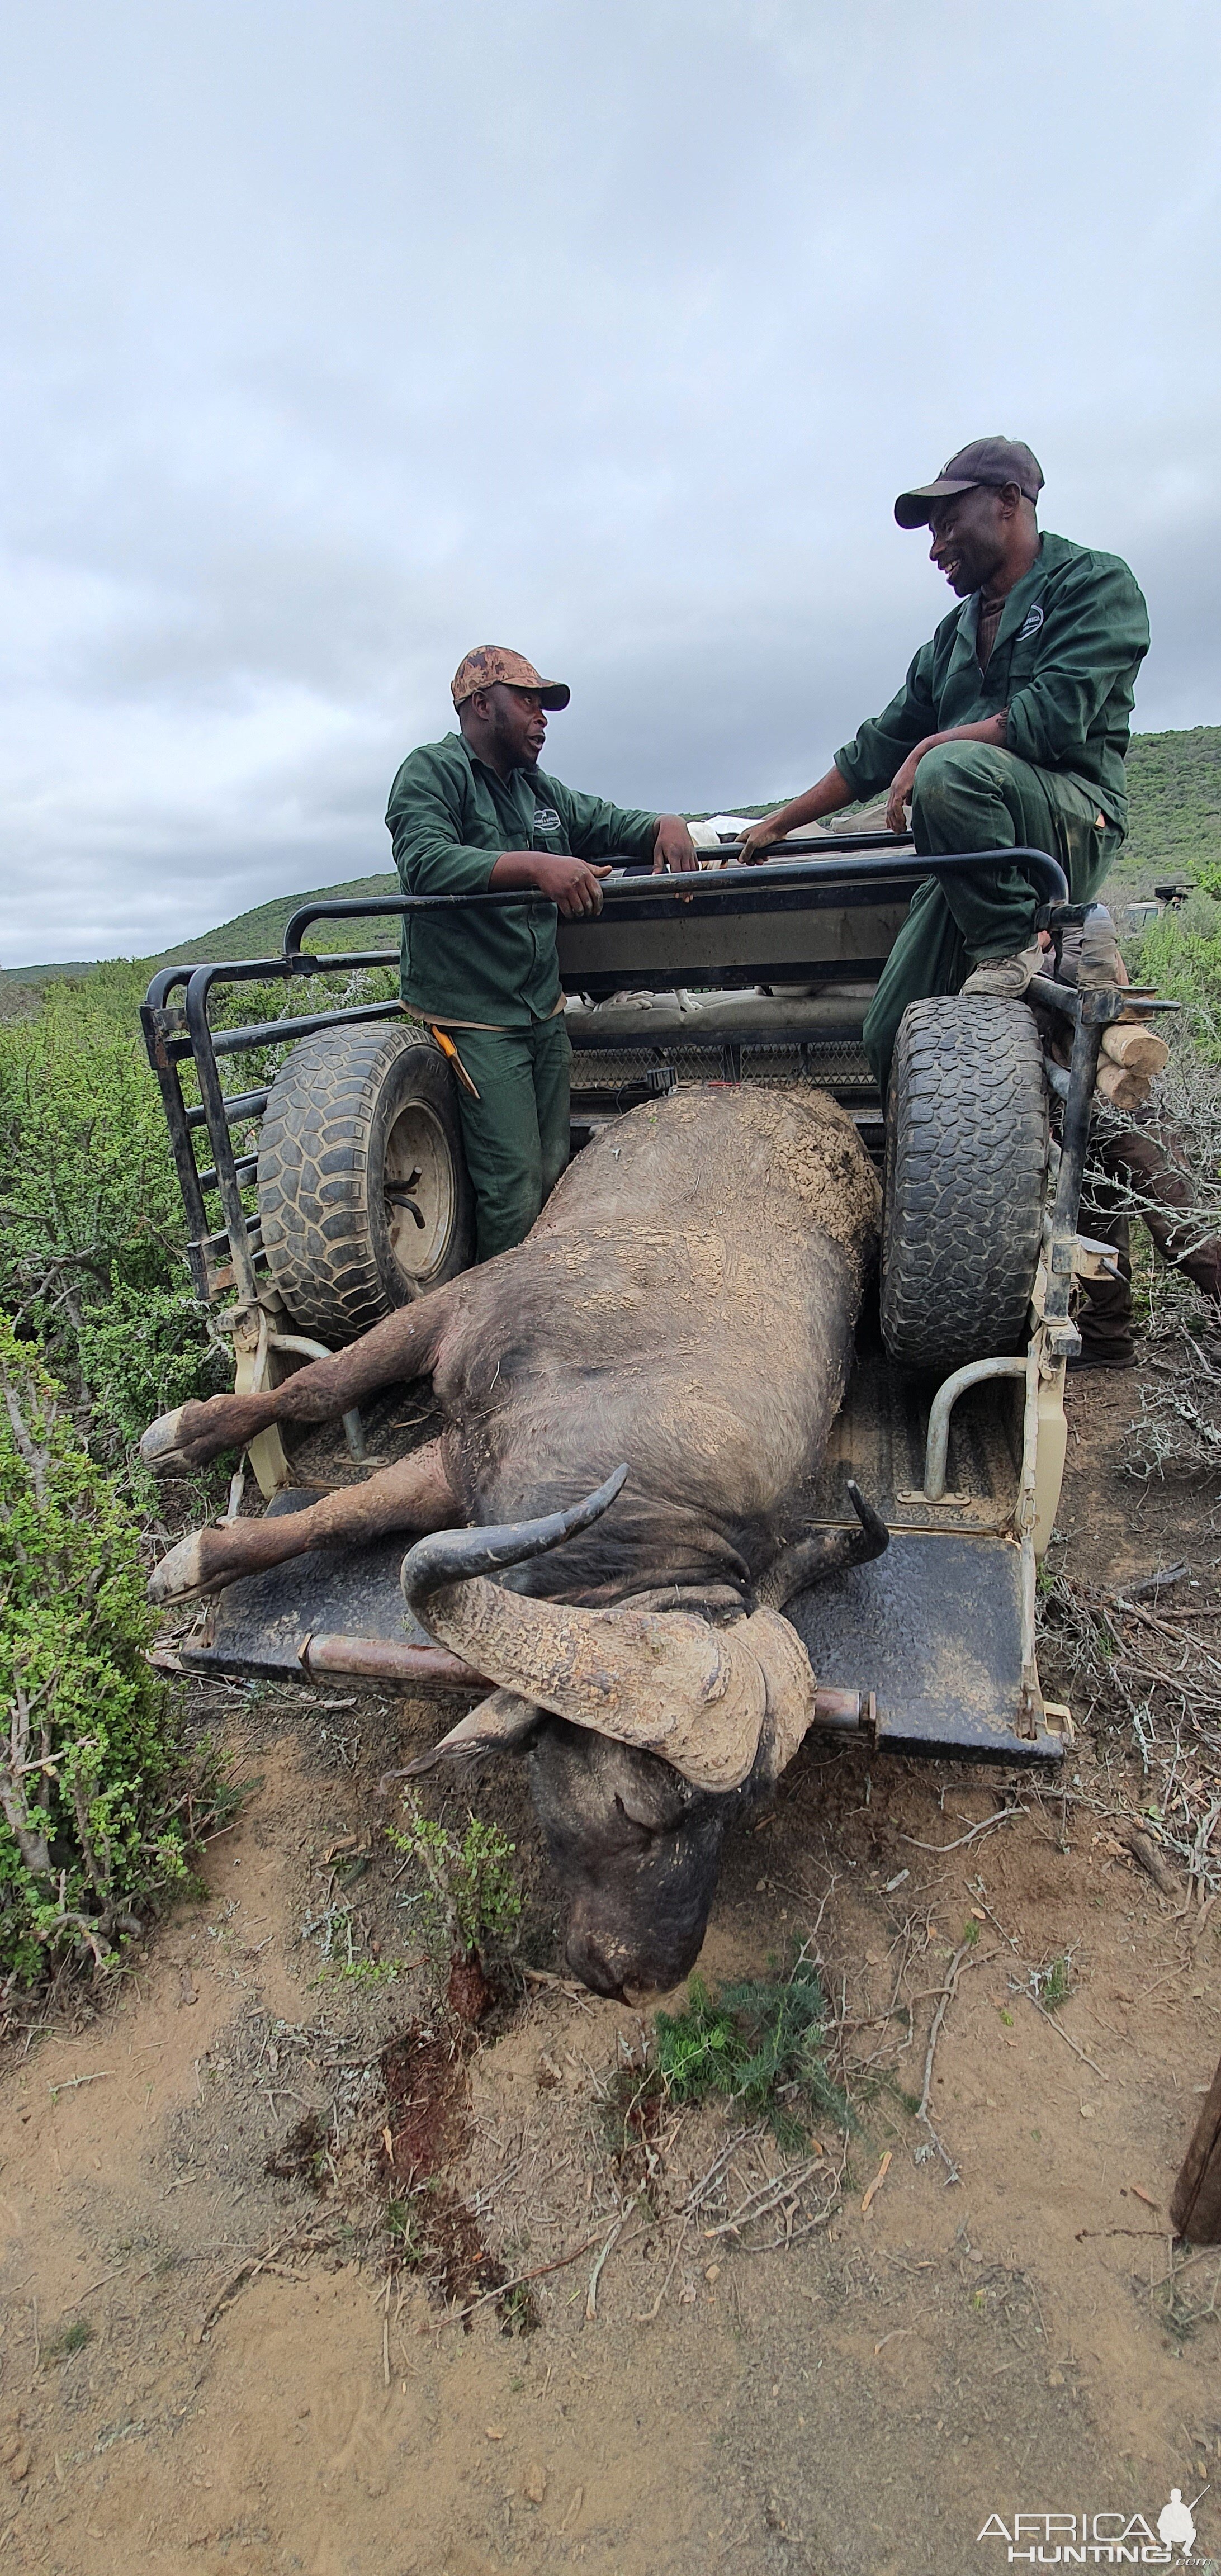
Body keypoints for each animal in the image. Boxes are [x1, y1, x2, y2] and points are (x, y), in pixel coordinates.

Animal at [143, 1082, 886, 1988]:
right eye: (633, 1810)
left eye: (738, 1819)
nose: (649, 1975)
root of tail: (791, 1092)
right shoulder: (452, 1319)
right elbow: (322, 1395)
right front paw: (188, 1453)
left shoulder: (465, 1469)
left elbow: (354, 1512)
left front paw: (204, 1550)